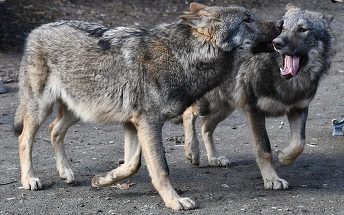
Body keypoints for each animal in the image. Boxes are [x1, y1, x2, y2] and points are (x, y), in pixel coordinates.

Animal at [12, 2, 272, 210]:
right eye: (247, 19)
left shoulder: (132, 123)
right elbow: (160, 168)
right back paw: (29, 180)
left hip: (81, 109)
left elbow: (132, 165)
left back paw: (65, 172)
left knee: (54, 130)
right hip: (42, 109)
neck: (182, 57)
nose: (279, 24)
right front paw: (175, 201)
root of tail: (36, 31)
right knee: (24, 138)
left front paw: (102, 180)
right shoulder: (148, 122)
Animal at [183, 3, 336, 190]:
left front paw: (285, 157)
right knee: (189, 114)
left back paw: (214, 158)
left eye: (302, 29)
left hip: (225, 108)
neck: (287, 82)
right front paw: (272, 179)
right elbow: (264, 149)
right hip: (207, 105)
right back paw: (192, 151)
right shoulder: (254, 110)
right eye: (283, 28)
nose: (277, 43)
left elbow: (300, 143)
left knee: (205, 126)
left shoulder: (299, 108)